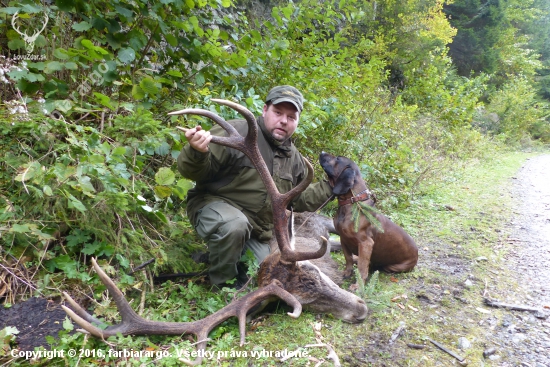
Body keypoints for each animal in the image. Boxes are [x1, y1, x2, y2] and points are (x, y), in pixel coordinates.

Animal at [320, 152, 418, 284]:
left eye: (337, 158)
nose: (322, 152)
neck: (352, 202)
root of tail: (417, 254)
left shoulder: (366, 243)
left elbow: (362, 267)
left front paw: (358, 285)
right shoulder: (343, 238)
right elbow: (348, 258)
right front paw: (347, 273)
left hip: (393, 266)